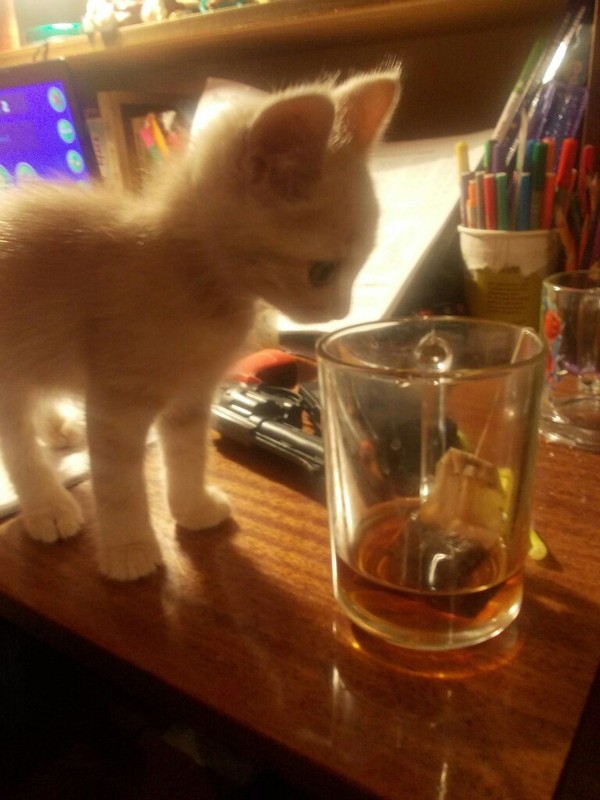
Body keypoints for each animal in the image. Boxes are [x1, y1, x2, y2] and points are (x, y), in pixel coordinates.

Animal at [0, 70, 399, 580]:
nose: (340, 313)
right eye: (323, 271)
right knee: (15, 437)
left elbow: (188, 453)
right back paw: (47, 505)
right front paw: (129, 548)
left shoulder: (193, 394)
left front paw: (192, 509)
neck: (196, 281)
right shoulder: (116, 401)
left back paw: (56, 428)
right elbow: (118, 482)